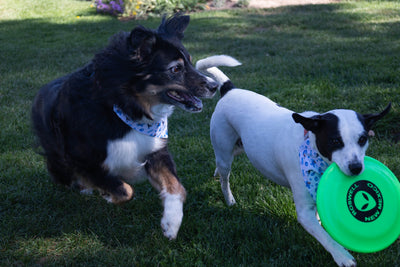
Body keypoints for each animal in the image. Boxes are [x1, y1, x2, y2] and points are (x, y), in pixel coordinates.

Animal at [32, 15, 217, 241]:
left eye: (189, 61)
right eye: (175, 69)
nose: (214, 86)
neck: (124, 106)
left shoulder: (154, 150)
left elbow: (177, 187)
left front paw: (171, 223)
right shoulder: (82, 160)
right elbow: (125, 190)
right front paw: (108, 195)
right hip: (58, 158)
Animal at [197, 55, 390, 266]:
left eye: (362, 139)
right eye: (335, 141)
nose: (356, 168)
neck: (310, 143)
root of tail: (230, 90)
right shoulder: (304, 212)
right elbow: (325, 237)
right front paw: (342, 255)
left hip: (241, 146)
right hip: (224, 149)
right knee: (224, 176)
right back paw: (229, 199)